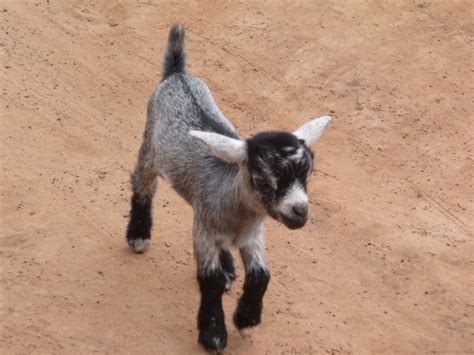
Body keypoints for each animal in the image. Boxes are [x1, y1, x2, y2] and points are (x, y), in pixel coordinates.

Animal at [128, 24, 332, 354]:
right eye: (262, 179)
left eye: (307, 175)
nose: (300, 212)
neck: (240, 213)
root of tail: (177, 75)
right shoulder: (205, 232)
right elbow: (208, 280)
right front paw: (213, 334)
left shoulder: (252, 235)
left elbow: (261, 275)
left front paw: (247, 320)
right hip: (149, 146)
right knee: (143, 185)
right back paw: (138, 234)